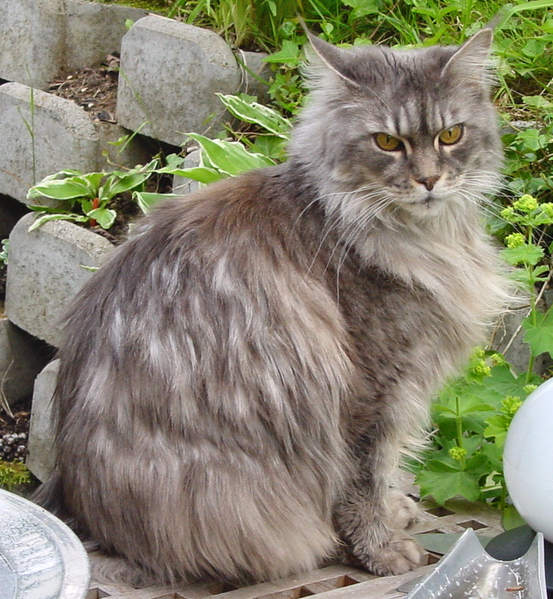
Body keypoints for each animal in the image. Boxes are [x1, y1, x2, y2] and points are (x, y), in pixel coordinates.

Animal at [33, 27, 508, 584]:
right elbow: (363, 481)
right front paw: (379, 551)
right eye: (388, 142)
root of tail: (75, 493)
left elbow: (385, 470)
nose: (430, 181)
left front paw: (393, 514)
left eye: (451, 135)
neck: (421, 237)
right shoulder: (375, 390)